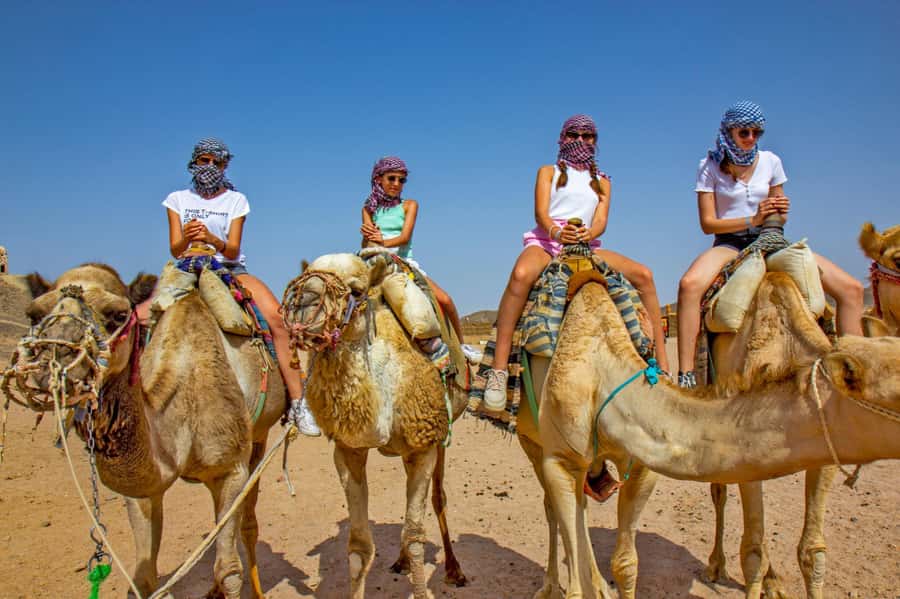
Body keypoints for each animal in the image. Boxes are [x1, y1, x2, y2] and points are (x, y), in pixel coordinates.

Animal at [5, 263, 286, 599]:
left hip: (256, 437)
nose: (54, 360)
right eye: (34, 314)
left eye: (117, 314)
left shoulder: (230, 469)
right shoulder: (143, 490)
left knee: (247, 518)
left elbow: (229, 570)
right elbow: (143, 580)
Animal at [281, 251, 469, 599]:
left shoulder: (424, 443)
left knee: (438, 499)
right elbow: (359, 545)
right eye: (305, 276)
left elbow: (416, 534)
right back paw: (401, 562)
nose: (302, 302)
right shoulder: (348, 450)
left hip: (439, 438)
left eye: (356, 290)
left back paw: (453, 569)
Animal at [514, 272, 900, 599]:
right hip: (531, 441)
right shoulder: (560, 459)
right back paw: (549, 587)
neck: (603, 369)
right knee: (553, 509)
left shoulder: (642, 464)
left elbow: (625, 564)